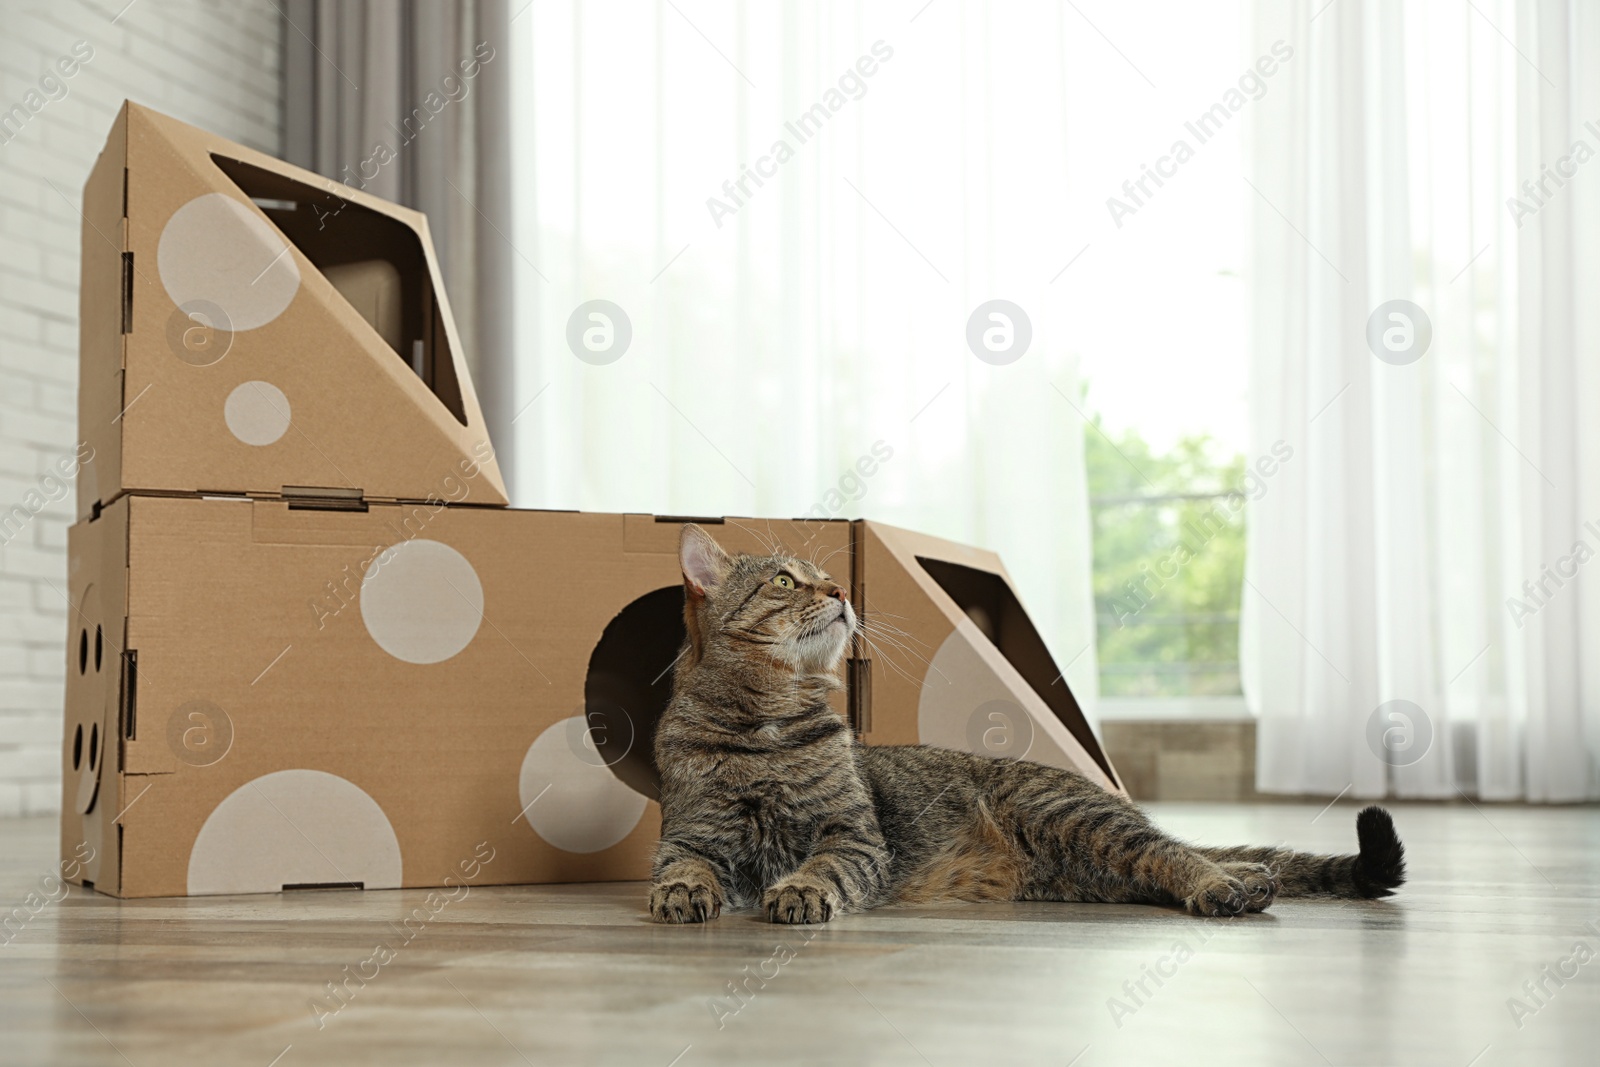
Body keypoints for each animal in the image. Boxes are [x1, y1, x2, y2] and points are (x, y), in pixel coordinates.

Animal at [646, 524, 1401, 927]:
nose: (840, 592)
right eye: (782, 581)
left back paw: (1225, 885)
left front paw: (799, 888)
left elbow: (823, 864)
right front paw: (682, 891)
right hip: (1092, 866)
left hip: (1074, 819)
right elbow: (682, 864)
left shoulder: (852, 835)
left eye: (825, 576)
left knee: (1175, 850)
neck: (763, 728)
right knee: (1183, 855)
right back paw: (1248, 877)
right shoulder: (689, 833)